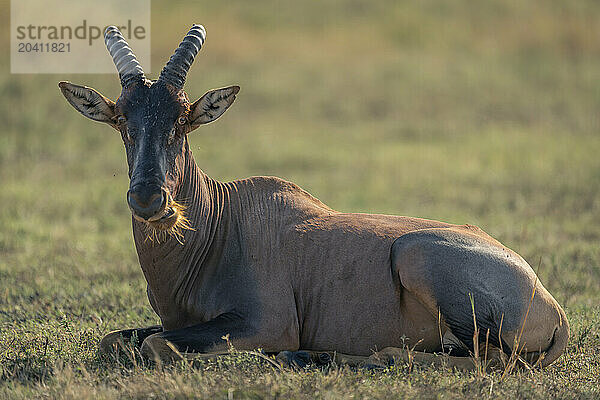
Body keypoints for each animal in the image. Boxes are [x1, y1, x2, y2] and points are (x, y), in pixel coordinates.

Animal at [58, 24, 568, 368]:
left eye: (184, 118)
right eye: (121, 119)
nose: (149, 200)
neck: (223, 221)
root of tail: (552, 304)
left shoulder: (266, 323)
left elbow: (156, 346)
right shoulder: (178, 323)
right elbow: (116, 339)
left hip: (415, 257)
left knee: (487, 359)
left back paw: (316, 357)